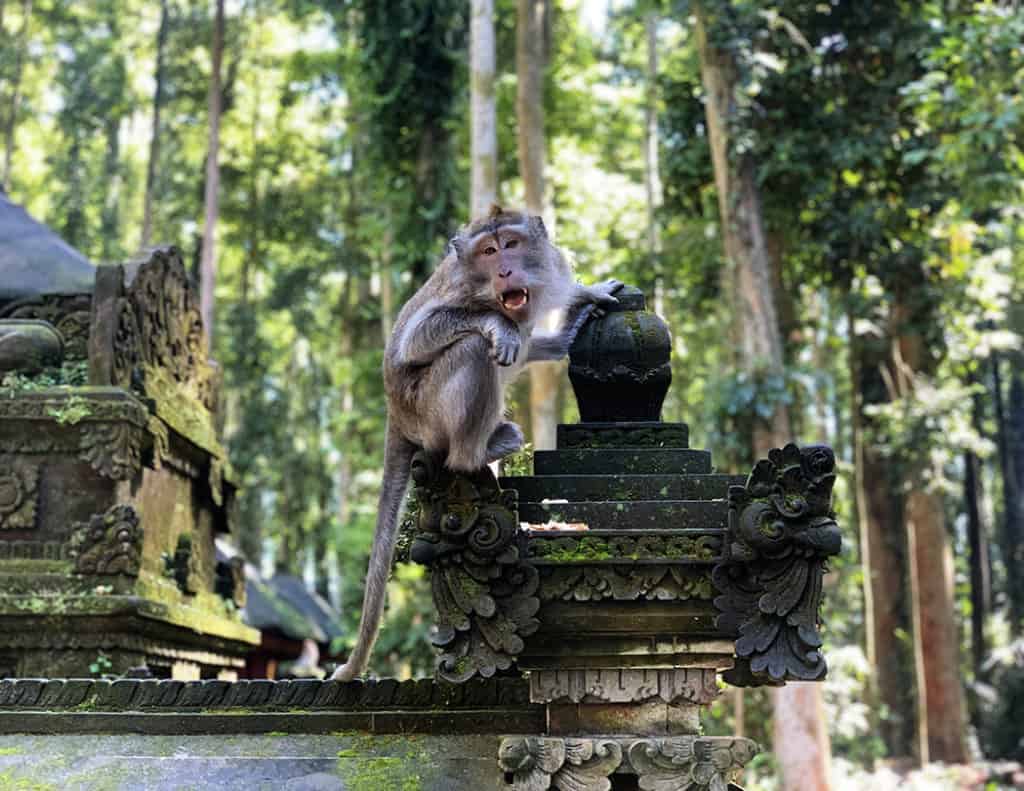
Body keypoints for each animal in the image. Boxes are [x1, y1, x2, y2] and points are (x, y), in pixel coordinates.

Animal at [331, 205, 618, 680]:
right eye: (488, 251)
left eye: (511, 244)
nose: (504, 270)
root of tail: (397, 413)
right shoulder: (460, 291)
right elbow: (418, 340)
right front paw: (497, 325)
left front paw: (582, 300)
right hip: (428, 412)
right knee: (470, 349)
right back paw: (477, 450)